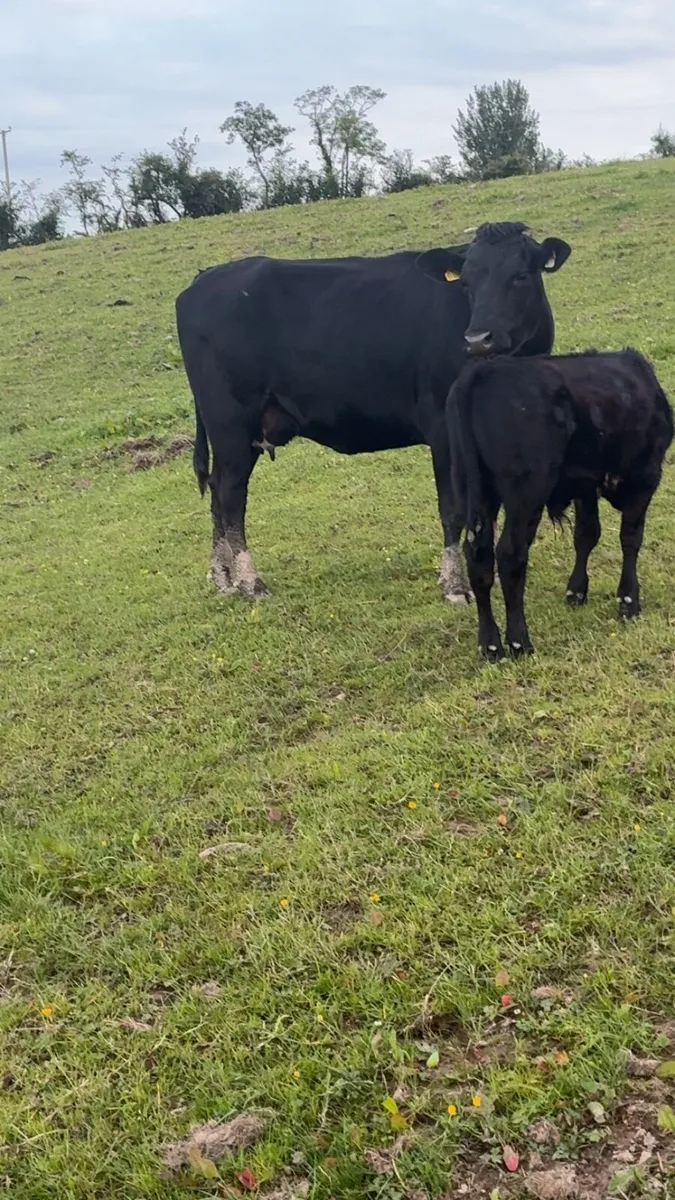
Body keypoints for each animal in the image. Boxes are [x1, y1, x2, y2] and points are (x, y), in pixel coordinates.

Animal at [174, 221, 571, 601]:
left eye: (520, 275)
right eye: (467, 282)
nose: (478, 339)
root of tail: (205, 277)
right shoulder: (443, 428)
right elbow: (453, 509)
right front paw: (456, 585)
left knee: (217, 490)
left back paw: (224, 579)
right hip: (232, 423)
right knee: (230, 493)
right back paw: (250, 582)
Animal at [447, 349, 674, 660]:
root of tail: (485, 369)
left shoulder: (585, 485)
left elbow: (586, 535)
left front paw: (576, 592)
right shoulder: (646, 475)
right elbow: (631, 537)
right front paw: (629, 600)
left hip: (474, 490)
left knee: (479, 557)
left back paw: (490, 645)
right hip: (526, 493)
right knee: (510, 555)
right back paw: (519, 642)